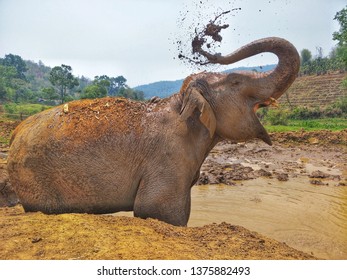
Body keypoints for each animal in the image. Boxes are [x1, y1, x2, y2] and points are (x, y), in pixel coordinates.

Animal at [6, 36, 300, 225]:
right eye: (237, 82)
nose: (206, 48)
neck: (181, 101)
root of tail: (16, 129)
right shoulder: (167, 155)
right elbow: (158, 210)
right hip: (32, 176)